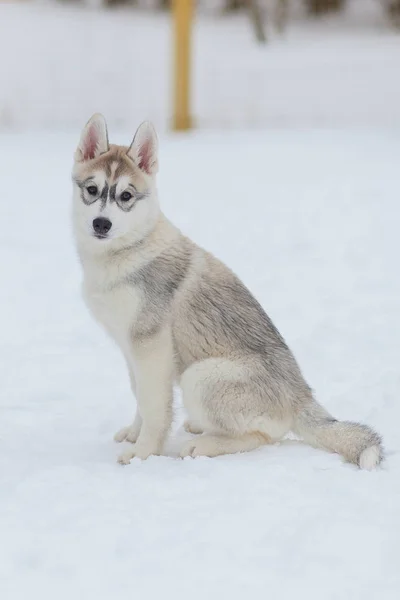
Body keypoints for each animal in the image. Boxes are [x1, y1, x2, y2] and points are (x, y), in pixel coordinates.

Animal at [72, 112, 384, 468]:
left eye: (126, 196)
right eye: (92, 189)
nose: (101, 224)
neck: (128, 251)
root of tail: (301, 397)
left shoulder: (151, 347)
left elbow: (153, 407)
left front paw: (143, 452)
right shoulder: (130, 348)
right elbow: (140, 396)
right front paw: (135, 435)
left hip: (199, 376)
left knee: (265, 435)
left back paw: (203, 445)